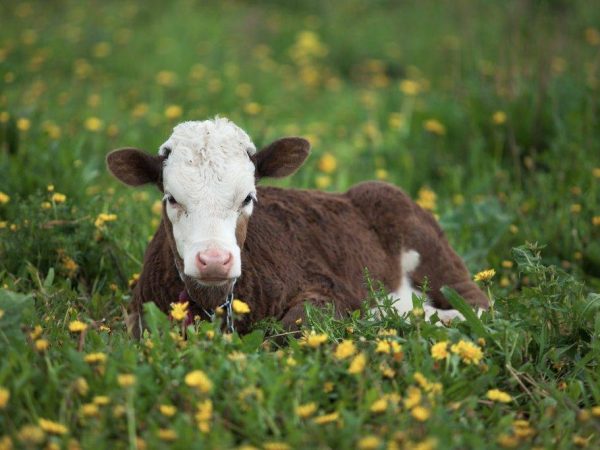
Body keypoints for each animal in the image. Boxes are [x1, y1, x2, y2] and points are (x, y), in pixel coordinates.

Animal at [108, 118, 490, 336]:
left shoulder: (328, 288)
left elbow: (290, 327)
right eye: (171, 198)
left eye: (248, 197)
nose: (214, 260)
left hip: (435, 258)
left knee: (478, 305)